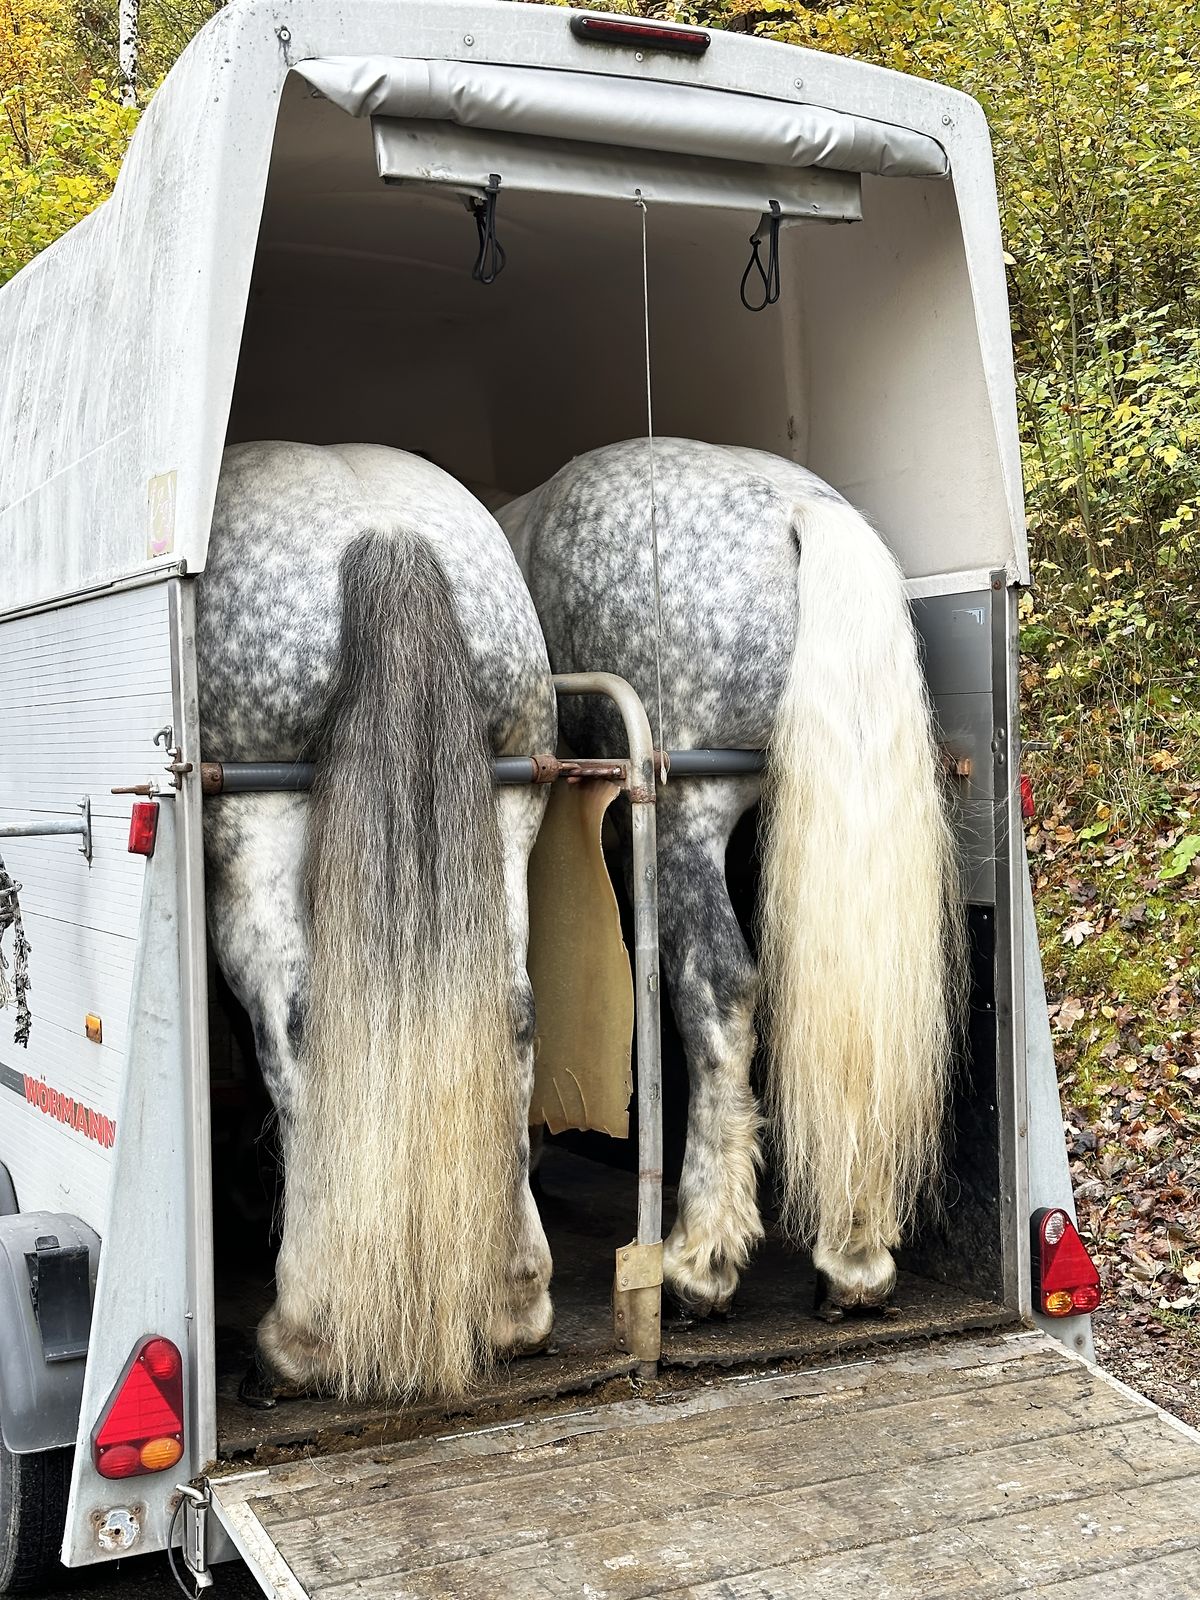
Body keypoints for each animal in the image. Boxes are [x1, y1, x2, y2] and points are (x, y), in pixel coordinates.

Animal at [196, 441, 557, 1400]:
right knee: (511, 1011)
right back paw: (515, 1300)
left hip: (259, 822)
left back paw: (304, 1333)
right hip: (510, 805)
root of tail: (387, 535)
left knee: (298, 1020)